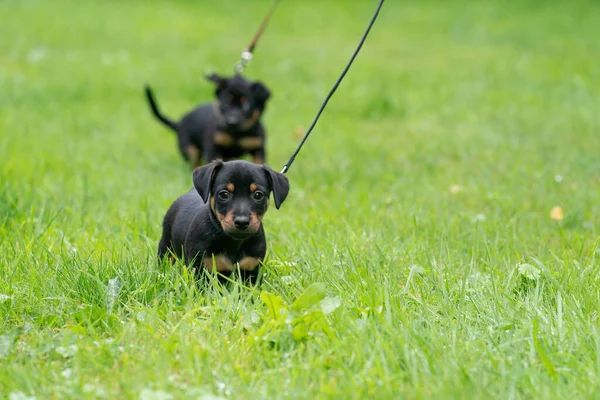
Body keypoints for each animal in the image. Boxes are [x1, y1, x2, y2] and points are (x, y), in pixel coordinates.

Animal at [158, 159, 290, 284]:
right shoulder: (200, 270)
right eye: (224, 194)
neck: (234, 242)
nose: (242, 222)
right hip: (166, 247)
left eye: (258, 195)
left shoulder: (251, 270)